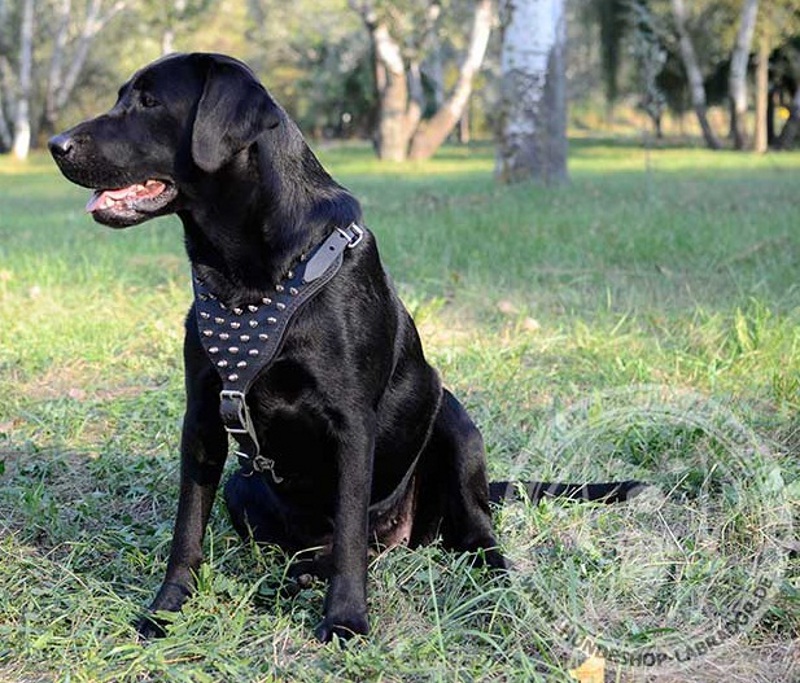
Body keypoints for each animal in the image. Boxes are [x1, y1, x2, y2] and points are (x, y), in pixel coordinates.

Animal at [48, 52, 636, 640]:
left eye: (149, 102)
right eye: (122, 96)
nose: (56, 144)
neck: (250, 274)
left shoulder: (351, 422)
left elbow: (351, 529)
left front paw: (347, 619)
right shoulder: (203, 419)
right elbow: (186, 528)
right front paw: (167, 609)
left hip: (455, 424)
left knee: (463, 533)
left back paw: (495, 583)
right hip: (243, 486)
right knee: (317, 547)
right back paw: (303, 573)